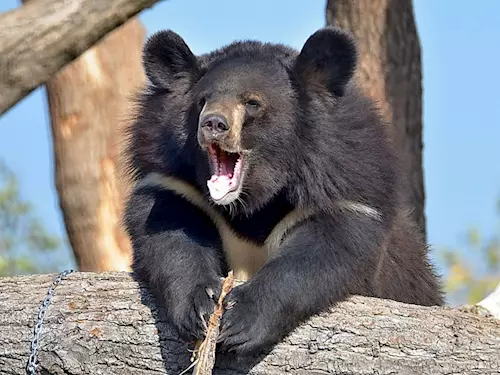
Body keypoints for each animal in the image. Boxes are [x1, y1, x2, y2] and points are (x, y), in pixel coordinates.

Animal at [123, 26, 444, 356]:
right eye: (201, 101)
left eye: (252, 103)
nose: (213, 123)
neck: (253, 198)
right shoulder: (174, 183)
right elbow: (172, 236)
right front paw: (200, 306)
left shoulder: (345, 188)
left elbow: (321, 252)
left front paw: (241, 319)